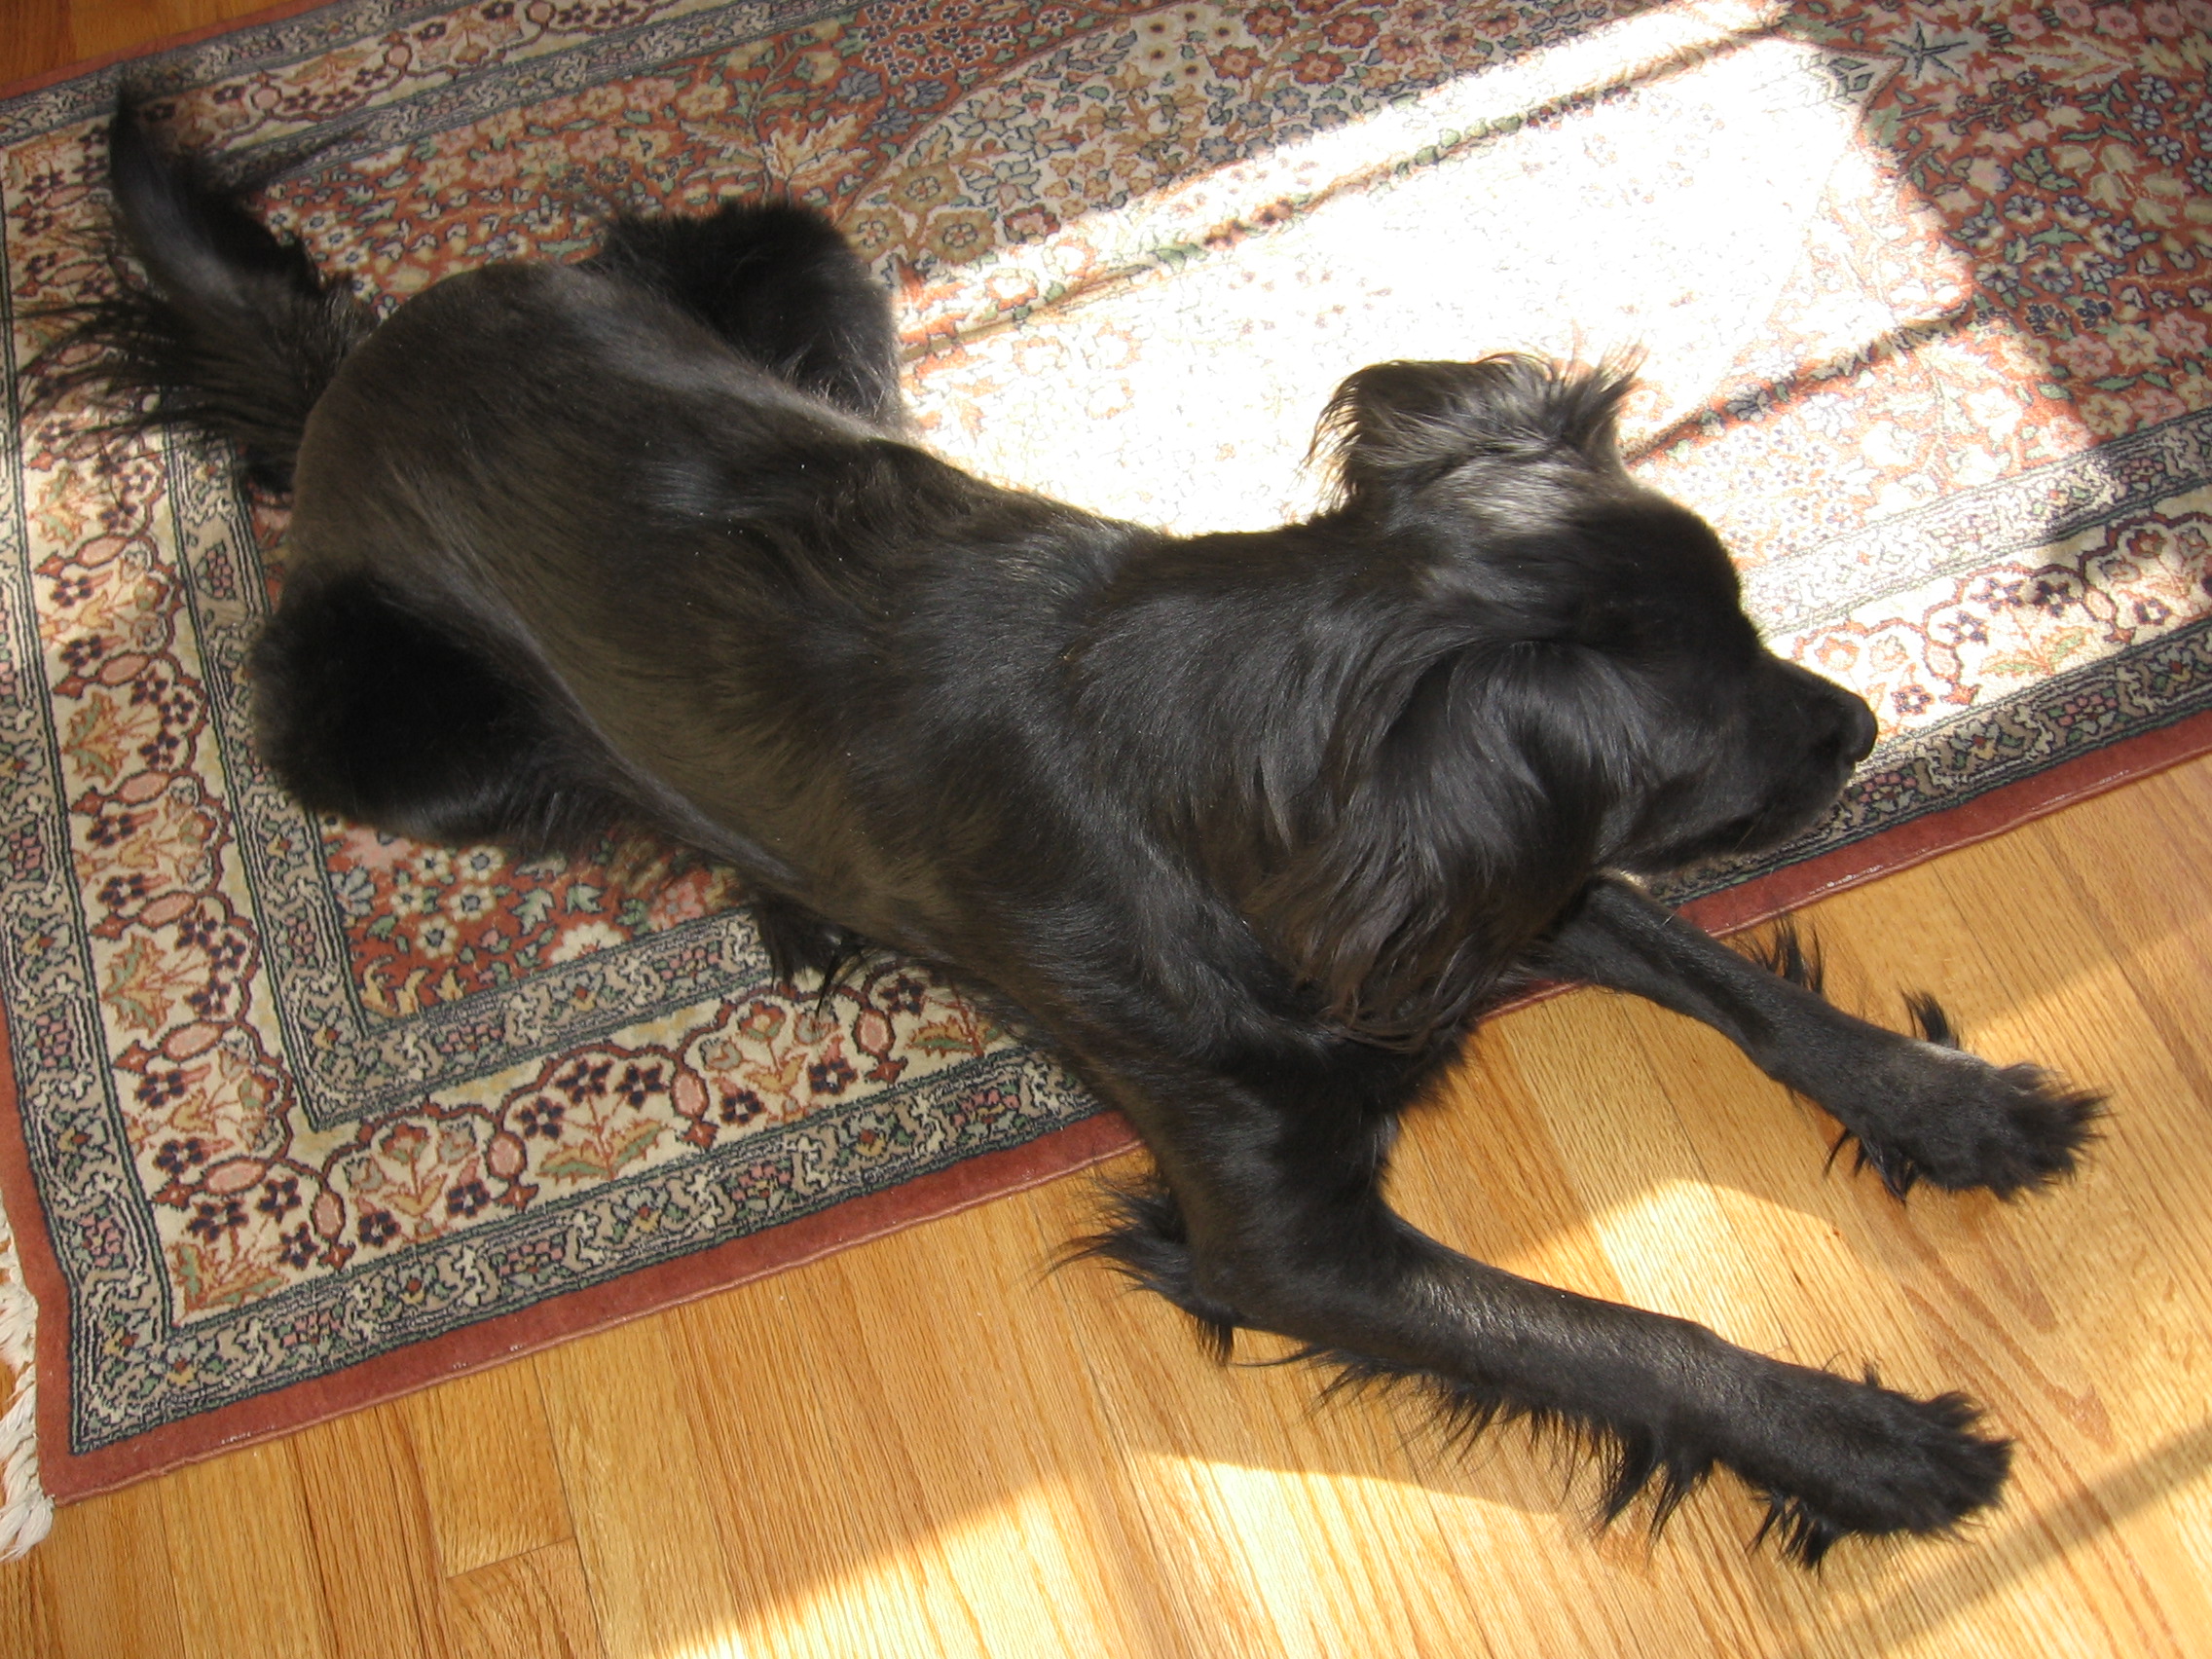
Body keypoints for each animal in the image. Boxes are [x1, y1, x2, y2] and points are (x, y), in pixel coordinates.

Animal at [33, 99, 2101, 1565]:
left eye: (1754, 627)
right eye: (1710, 723)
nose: (1861, 720)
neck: (1224, 770)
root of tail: (352, 361)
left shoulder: (1467, 903)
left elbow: (1737, 983)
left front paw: (1947, 1101)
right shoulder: (1290, 1240)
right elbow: (1622, 1333)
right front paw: (1863, 1438)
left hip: (807, 258)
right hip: (399, 746)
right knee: (595, 780)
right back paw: (789, 904)